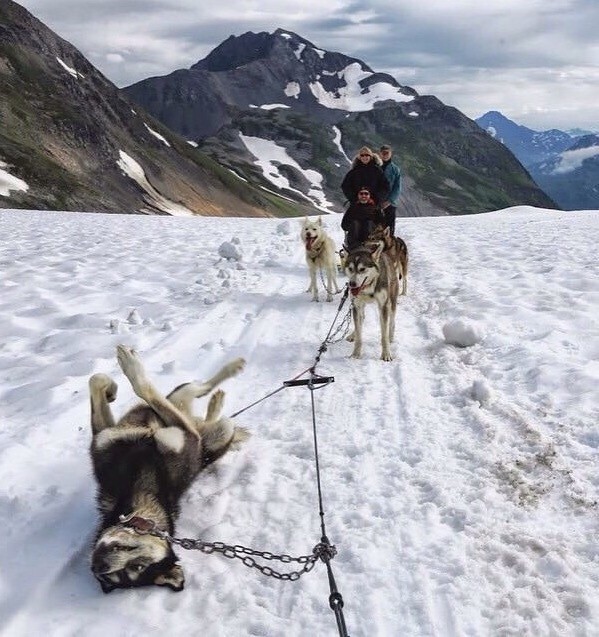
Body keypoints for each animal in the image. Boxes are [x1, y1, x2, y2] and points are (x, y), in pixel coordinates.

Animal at [88, 346, 247, 592]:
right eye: (115, 576)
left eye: (137, 567)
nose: (99, 565)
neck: (138, 487)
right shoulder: (104, 437)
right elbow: (96, 380)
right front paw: (111, 389)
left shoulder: (185, 436)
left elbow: (142, 387)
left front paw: (129, 369)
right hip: (191, 410)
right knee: (197, 397)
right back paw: (216, 402)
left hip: (216, 427)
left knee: (198, 393)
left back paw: (227, 378)